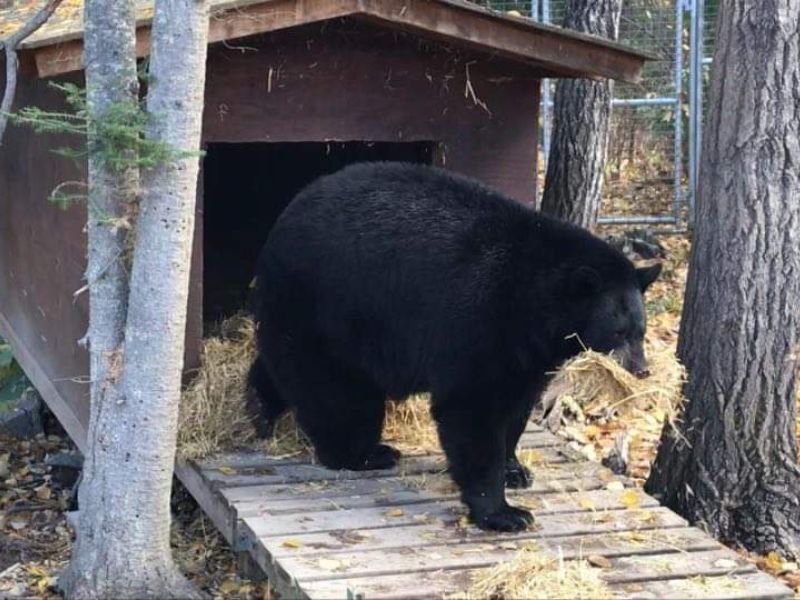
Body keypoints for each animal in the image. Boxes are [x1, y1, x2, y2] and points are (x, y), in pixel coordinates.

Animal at [247, 161, 661, 532]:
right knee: (336, 393)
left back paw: (260, 409)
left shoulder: (528, 350)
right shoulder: (479, 319)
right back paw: (364, 453)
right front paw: (504, 513)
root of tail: (282, 221)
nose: (641, 369)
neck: (534, 298)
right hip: (328, 306)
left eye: (641, 330)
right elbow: (472, 409)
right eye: (619, 331)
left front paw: (515, 469)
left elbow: (517, 405)